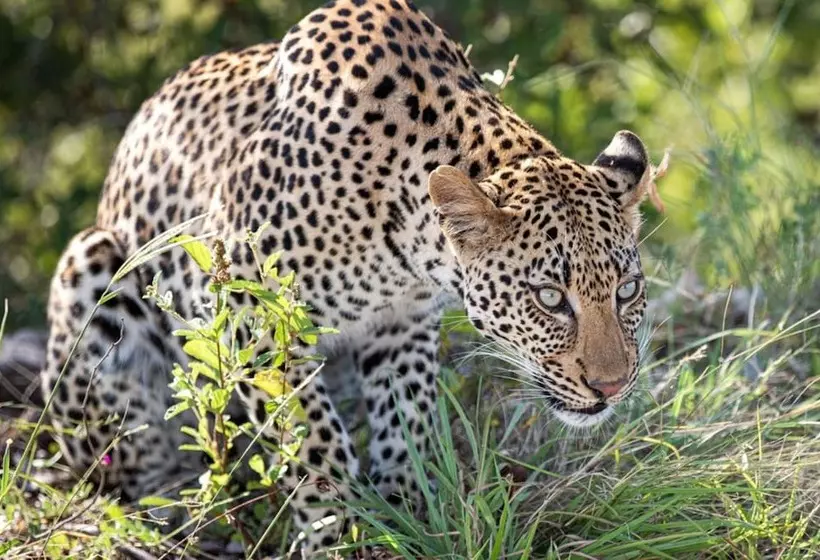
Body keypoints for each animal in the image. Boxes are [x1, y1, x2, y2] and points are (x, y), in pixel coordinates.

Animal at [41, 0, 662, 555]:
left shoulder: (402, 323)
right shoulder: (253, 318)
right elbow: (314, 444)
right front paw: (338, 534)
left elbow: (406, 417)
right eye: (550, 298)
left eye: (627, 291)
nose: (612, 388)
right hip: (91, 272)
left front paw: (408, 513)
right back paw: (175, 509)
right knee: (119, 459)